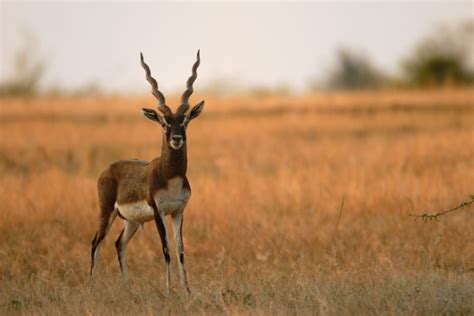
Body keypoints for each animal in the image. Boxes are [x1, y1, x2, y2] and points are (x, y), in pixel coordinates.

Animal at [90, 50, 204, 294]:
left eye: (185, 121)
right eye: (163, 123)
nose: (176, 139)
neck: (169, 177)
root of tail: (108, 169)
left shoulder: (178, 211)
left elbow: (180, 249)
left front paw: (187, 291)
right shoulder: (158, 210)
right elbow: (166, 248)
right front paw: (169, 291)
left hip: (132, 221)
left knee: (119, 244)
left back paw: (127, 289)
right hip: (106, 212)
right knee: (96, 243)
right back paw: (90, 289)